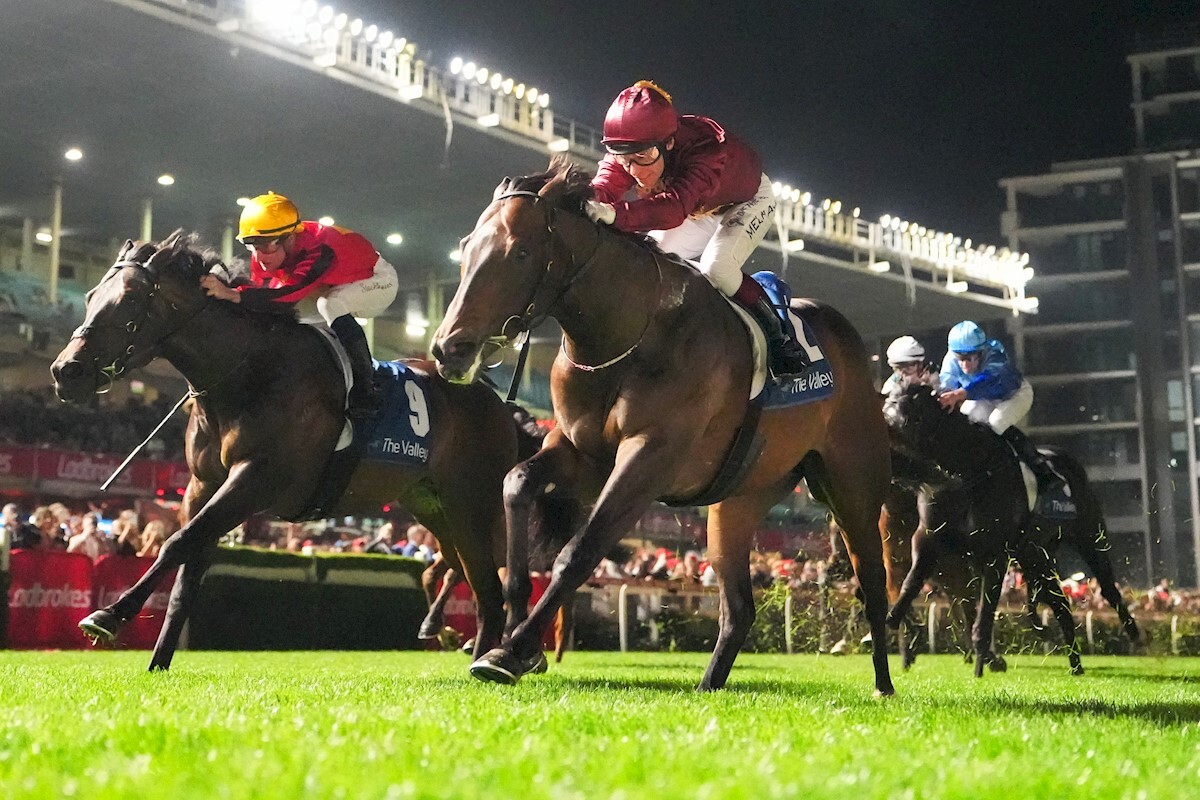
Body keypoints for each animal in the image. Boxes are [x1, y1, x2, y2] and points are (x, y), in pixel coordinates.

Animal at [49, 232, 532, 670]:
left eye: (131, 299)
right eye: (91, 295)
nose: (65, 371)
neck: (247, 373)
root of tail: (495, 400)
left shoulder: (257, 477)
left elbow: (177, 542)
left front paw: (109, 616)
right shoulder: (203, 486)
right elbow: (188, 567)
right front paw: (158, 664)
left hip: (471, 504)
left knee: (490, 586)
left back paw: (489, 659)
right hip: (433, 507)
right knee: (468, 577)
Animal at [431, 157, 895, 695]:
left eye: (521, 252)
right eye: (467, 246)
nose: (449, 349)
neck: (629, 334)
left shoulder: (650, 456)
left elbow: (580, 550)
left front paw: (512, 650)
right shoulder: (582, 454)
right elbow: (517, 481)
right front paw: (517, 636)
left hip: (853, 488)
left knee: (873, 585)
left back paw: (884, 685)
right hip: (738, 501)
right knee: (739, 607)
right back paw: (709, 686)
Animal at [882, 378, 1090, 676]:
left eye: (902, 422)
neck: (967, 472)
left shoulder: (994, 553)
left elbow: (985, 612)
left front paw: (981, 666)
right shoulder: (928, 537)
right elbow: (912, 579)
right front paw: (894, 618)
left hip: (1052, 549)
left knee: (1061, 604)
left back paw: (1076, 665)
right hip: (1033, 557)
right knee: (1059, 603)